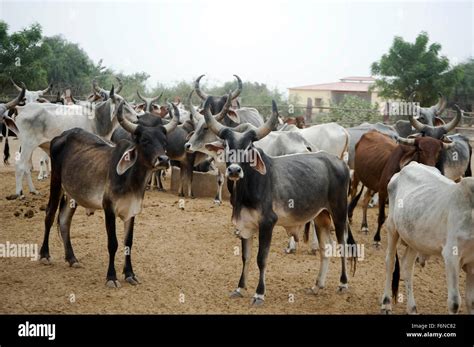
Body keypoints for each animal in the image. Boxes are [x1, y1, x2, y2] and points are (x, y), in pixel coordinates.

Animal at [382, 163, 474, 316]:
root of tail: (410, 165)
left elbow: (471, 301)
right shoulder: (451, 256)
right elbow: (454, 303)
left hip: (414, 239)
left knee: (407, 266)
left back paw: (412, 308)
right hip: (392, 227)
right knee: (390, 262)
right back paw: (386, 303)